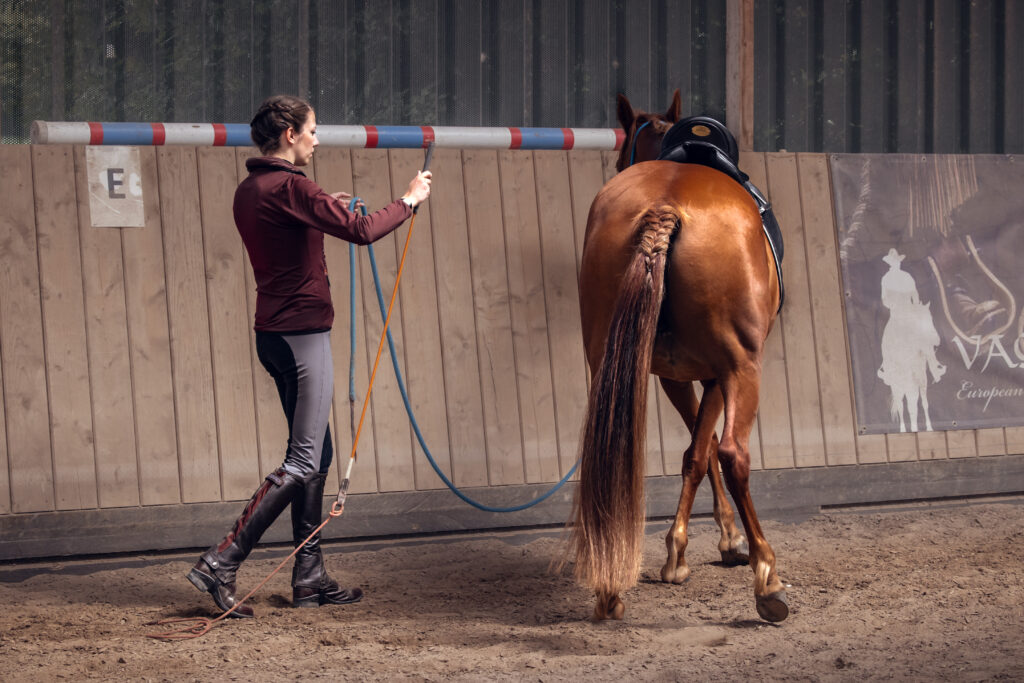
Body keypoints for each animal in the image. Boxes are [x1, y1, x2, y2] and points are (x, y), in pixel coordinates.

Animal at [573, 92, 786, 626]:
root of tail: (665, 206)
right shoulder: (713, 374)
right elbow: (703, 449)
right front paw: (716, 545)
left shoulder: (674, 375)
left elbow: (695, 450)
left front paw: (681, 551)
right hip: (742, 369)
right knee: (734, 454)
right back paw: (767, 577)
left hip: (608, 364)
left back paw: (609, 590)